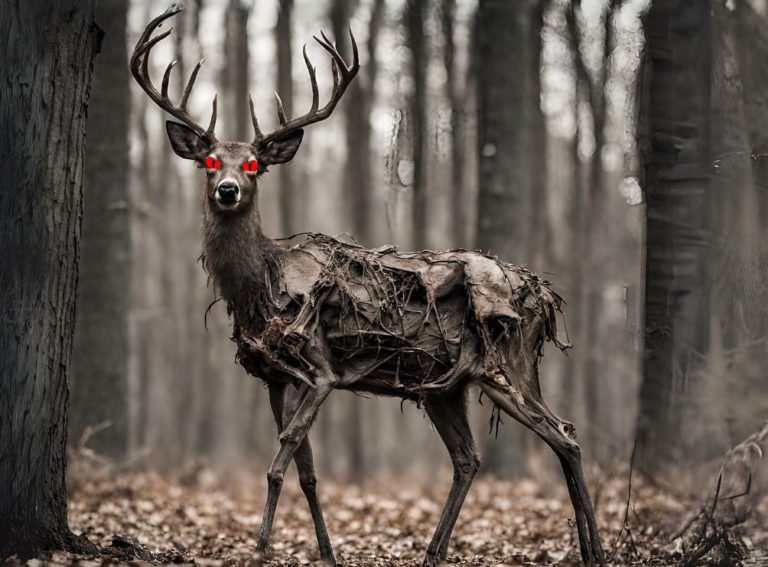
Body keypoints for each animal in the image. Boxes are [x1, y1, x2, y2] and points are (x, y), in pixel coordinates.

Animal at [130, 5, 608, 567]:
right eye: (209, 163)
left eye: (251, 165)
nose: (228, 189)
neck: (258, 284)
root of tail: (544, 294)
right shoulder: (274, 377)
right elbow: (308, 471)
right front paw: (325, 552)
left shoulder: (321, 368)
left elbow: (280, 458)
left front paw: (261, 547)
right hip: (444, 386)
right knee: (470, 458)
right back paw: (436, 552)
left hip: (506, 361)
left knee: (565, 435)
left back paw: (594, 550)